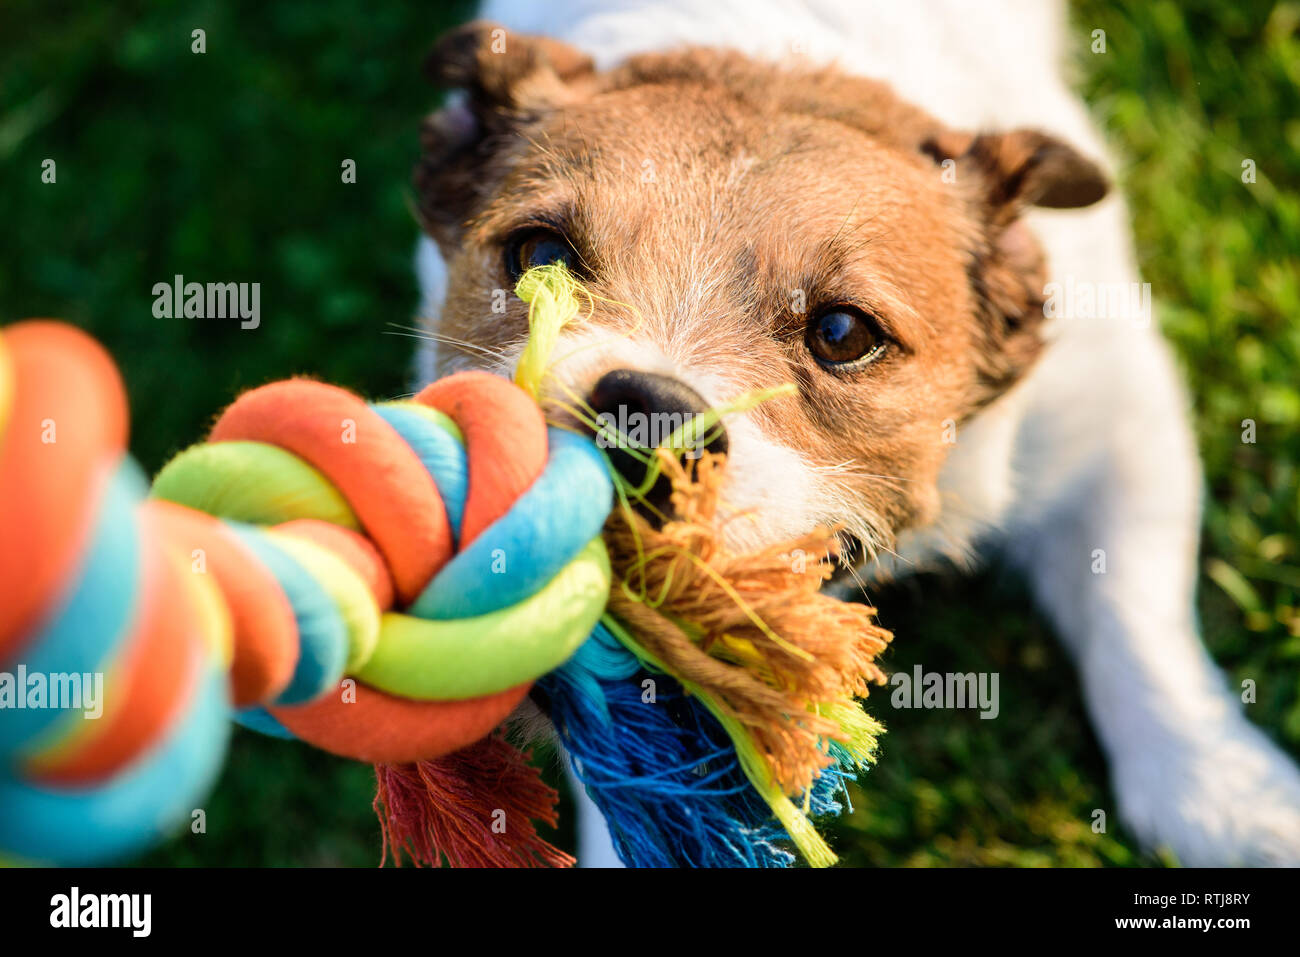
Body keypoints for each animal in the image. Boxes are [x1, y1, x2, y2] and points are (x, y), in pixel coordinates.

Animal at [410, 0, 1300, 868]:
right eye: (539, 254)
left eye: (842, 332)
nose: (644, 415)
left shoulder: (1116, 414)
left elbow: (1137, 609)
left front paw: (1221, 794)